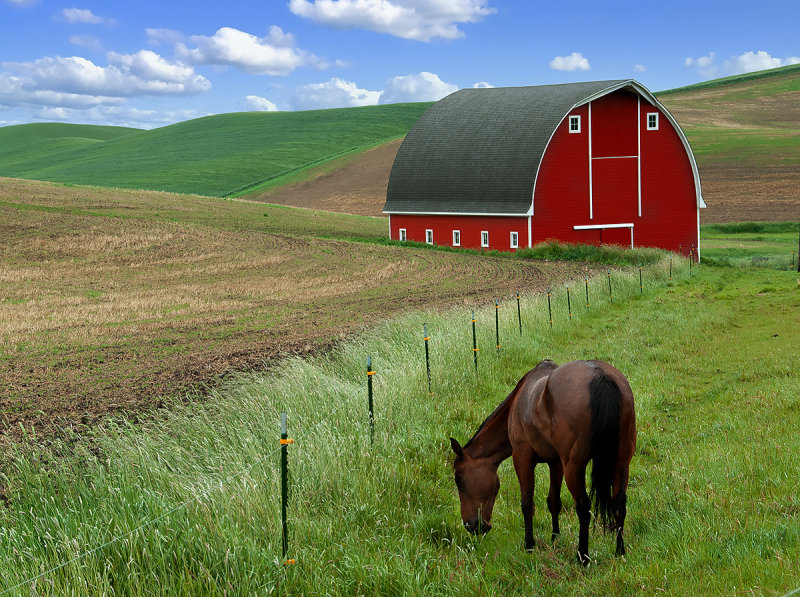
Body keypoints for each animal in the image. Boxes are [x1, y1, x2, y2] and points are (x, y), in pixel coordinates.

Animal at [450, 358, 636, 564]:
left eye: (458, 479)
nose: (470, 525)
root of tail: (600, 377)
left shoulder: (522, 458)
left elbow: (527, 504)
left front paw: (529, 545)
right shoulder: (555, 463)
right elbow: (554, 501)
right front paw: (555, 538)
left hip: (574, 467)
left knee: (583, 506)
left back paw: (583, 557)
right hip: (621, 462)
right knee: (619, 502)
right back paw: (620, 551)